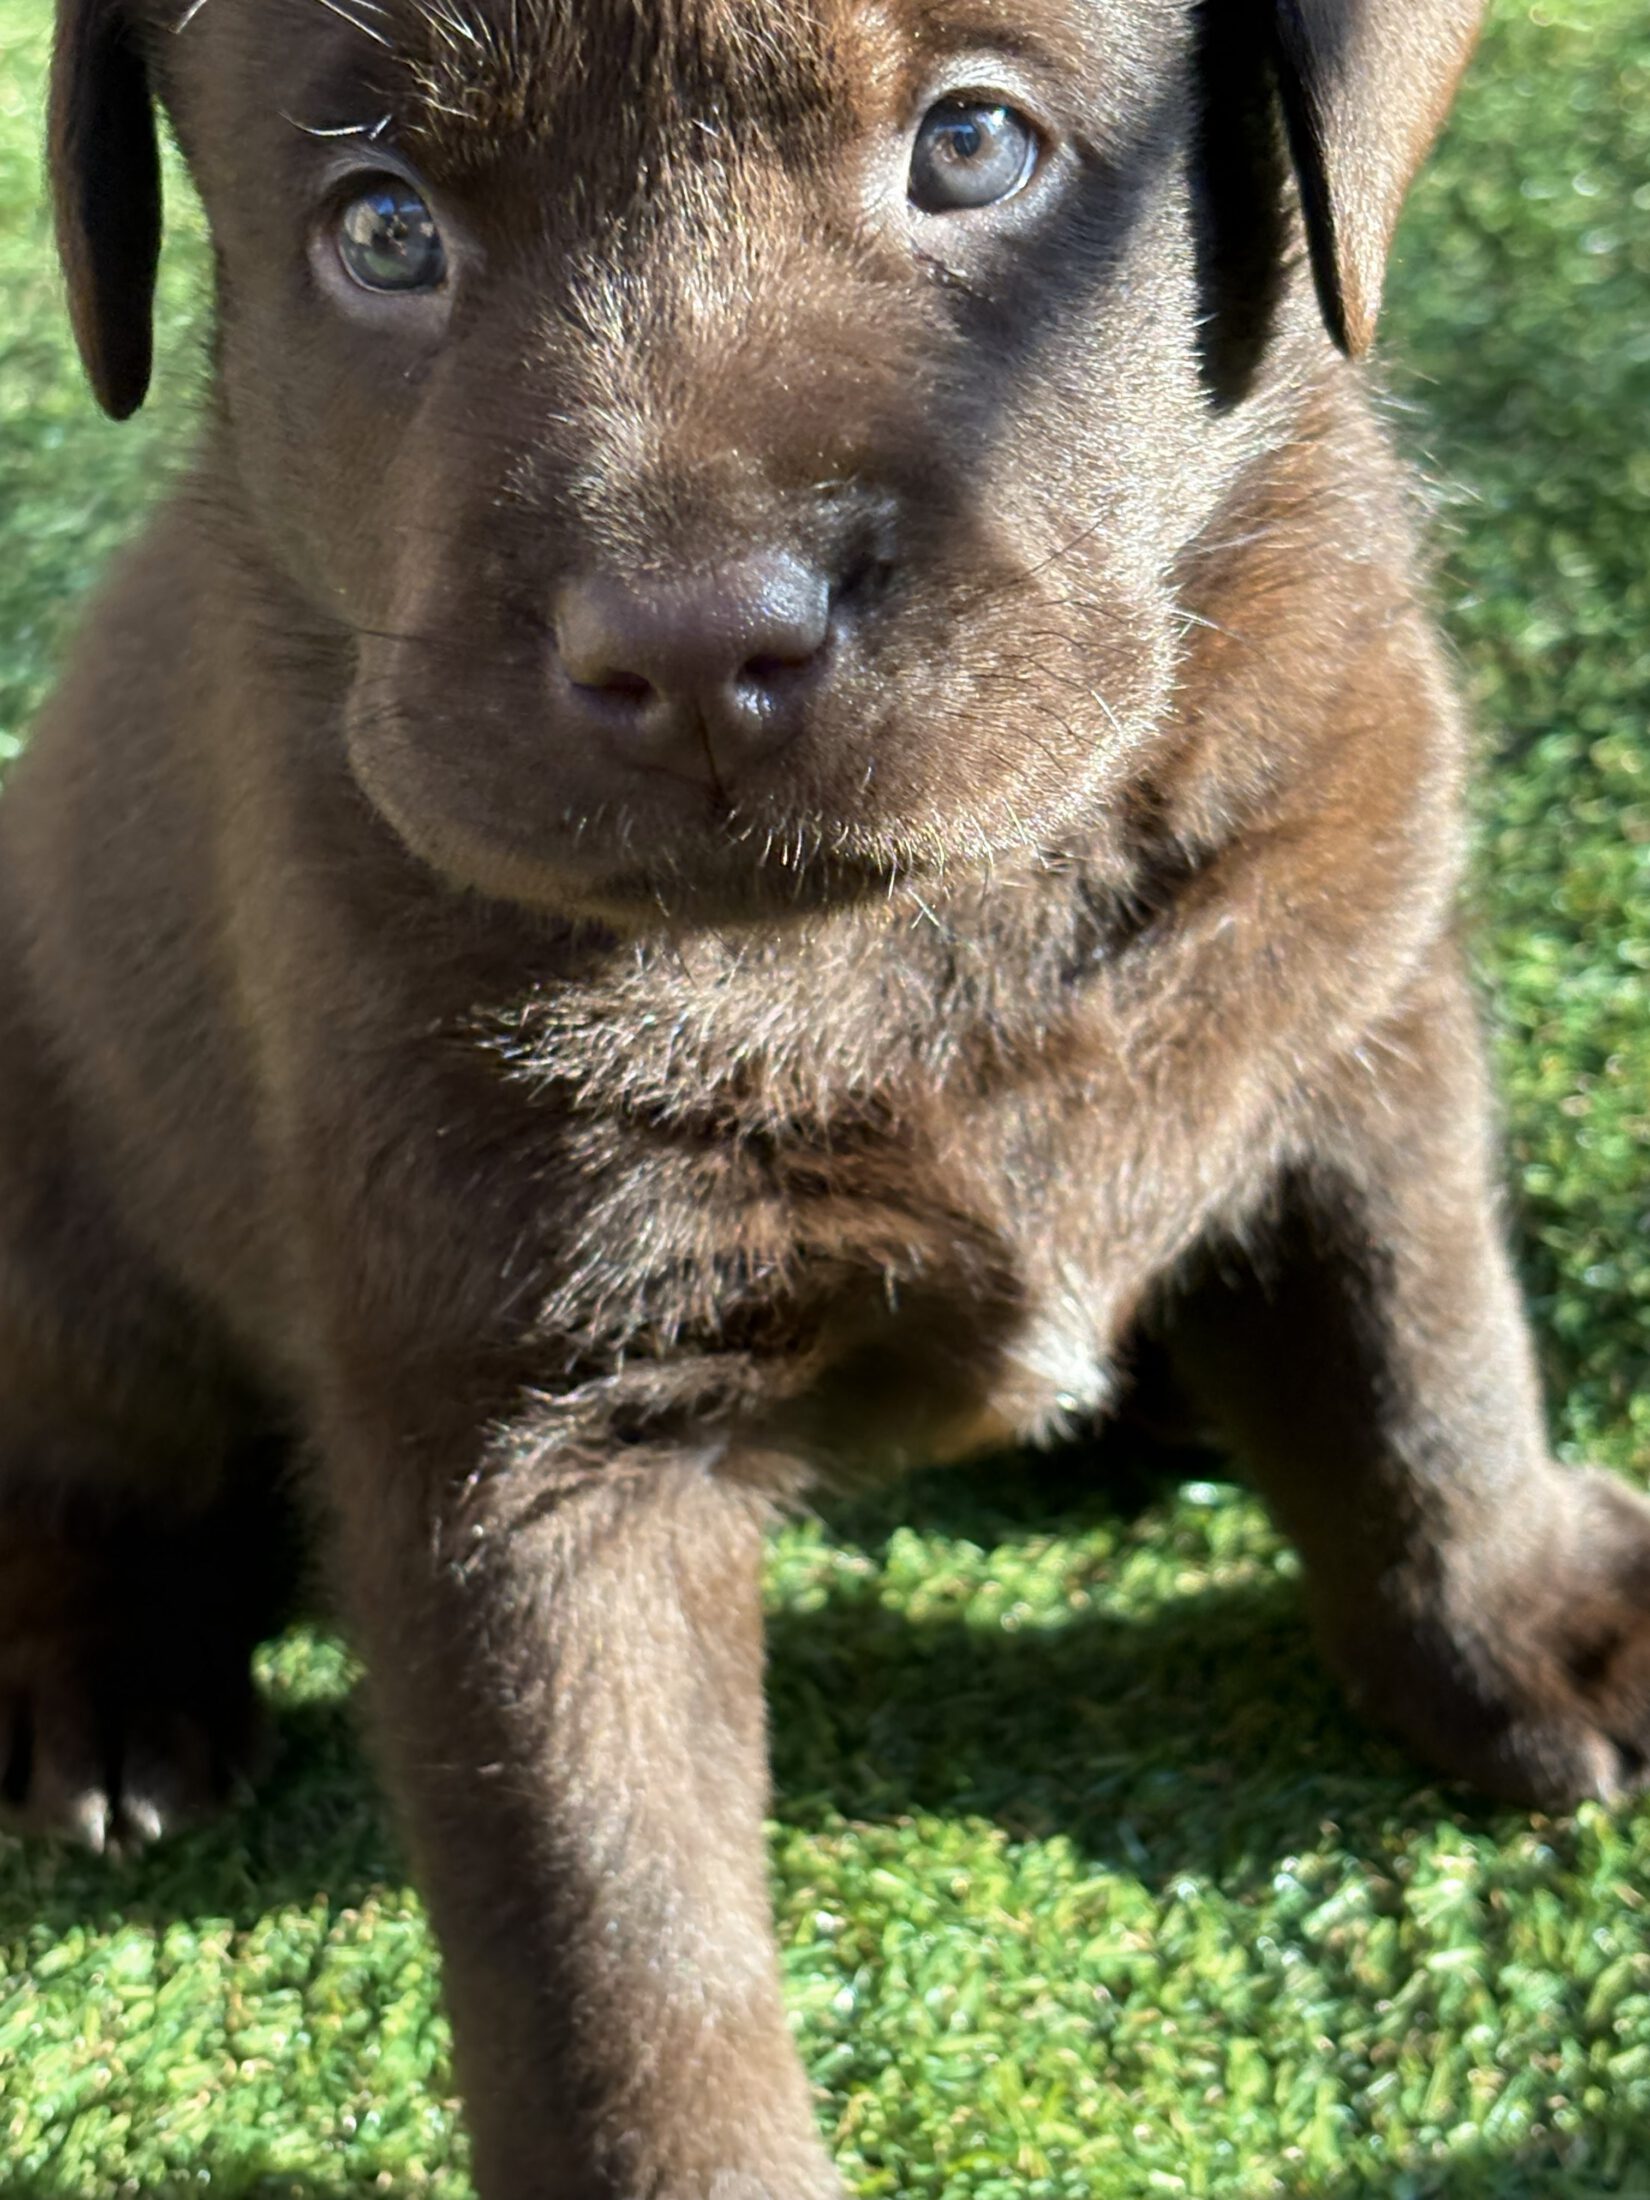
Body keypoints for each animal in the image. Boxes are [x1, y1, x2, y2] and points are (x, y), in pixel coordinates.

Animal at [5, 0, 1648, 2190]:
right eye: (383, 226)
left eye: (971, 146)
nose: (696, 645)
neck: (921, 934)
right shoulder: (521, 1414)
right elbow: (615, 1948)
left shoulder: (1360, 1013)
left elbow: (1429, 1375)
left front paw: (1532, 1622)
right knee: (81, 1445)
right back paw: (105, 1682)